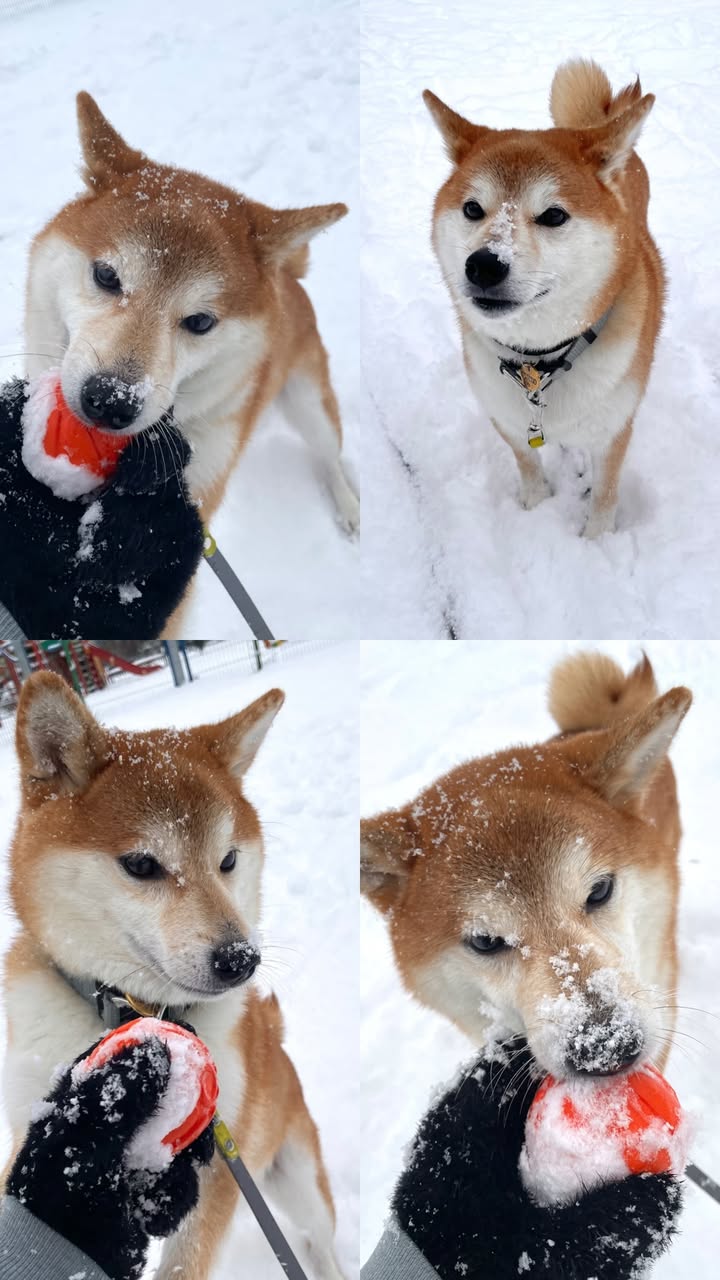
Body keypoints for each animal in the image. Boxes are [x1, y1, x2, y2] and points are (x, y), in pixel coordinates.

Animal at [2, 675, 345, 1274]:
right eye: (141, 865)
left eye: (228, 860)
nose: (240, 960)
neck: (125, 1007)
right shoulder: (30, 1123)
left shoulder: (221, 1173)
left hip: (296, 1178)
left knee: (318, 1241)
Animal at [25, 90, 358, 537]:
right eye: (107, 275)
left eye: (200, 322)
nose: (112, 401)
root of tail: (287, 277)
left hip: (311, 404)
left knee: (330, 456)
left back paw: (348, 505)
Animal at [422, 60, 666, 535]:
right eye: (473, 209)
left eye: (553, 215)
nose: (484, 265)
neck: (541, 360)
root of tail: (590, 123)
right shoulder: (508, 421)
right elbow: (528, 467)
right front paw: (536, 507)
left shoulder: (613, 432)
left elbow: (605, 497)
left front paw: (595, 542)